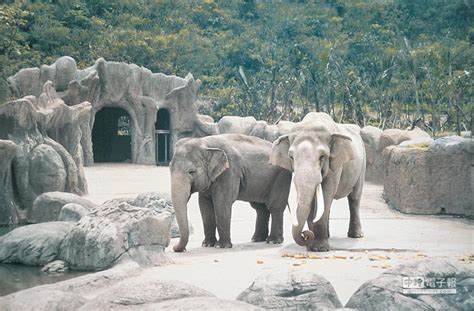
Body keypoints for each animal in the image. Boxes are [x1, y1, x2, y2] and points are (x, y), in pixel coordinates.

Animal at [270, 113, 366, 252]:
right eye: (291, 157)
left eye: (322, 157)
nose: (305, 234)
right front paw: (311, 247)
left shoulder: (334, 167)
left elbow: (326, 194)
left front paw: (319, 249)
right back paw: (329, 235)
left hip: (362, 165)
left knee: (354, 198)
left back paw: (356, 235)